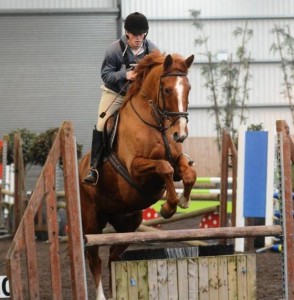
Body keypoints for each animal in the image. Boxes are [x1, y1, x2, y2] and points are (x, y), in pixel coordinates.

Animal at [79, 50, 196, 298]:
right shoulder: (135, 168)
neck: (156, 123)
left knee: (114, 255)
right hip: (92, 223)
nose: (180, 134)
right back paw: (102, 295)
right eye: (167, 90)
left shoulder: (178, 160)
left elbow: (188, 173)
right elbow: (164, 168)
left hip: (129, 223)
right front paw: (168, 207)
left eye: (188, 88)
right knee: (94, 259)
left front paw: (183, 201)